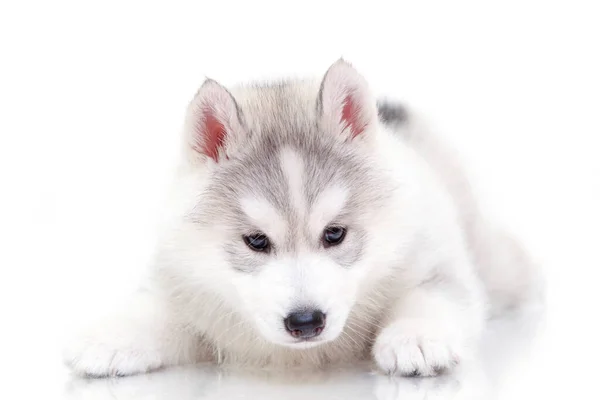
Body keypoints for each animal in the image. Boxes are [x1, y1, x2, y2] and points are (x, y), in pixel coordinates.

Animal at [64, 60, 540, 378]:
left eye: (335, 234)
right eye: (256, 241)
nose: (306, 322)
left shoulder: (435, 264)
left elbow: (432, 297)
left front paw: (415, 338)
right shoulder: (185, 287)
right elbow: (154, 312)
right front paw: (111, 339)